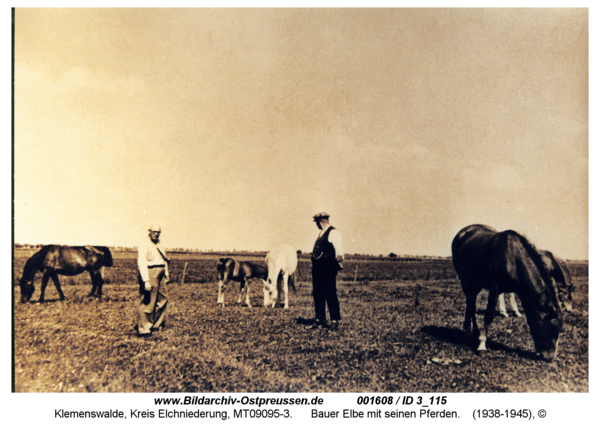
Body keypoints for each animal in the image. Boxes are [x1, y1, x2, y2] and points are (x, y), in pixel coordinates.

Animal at [450, 224, 572, 362]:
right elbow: (488, 316)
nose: (550, 357)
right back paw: (469, 330)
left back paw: (473, 331)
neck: (513, 259)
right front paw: (482, 344)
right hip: (466, 281)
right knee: (470, 304)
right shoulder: (494, 289)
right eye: (553, 328)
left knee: (471, 303)